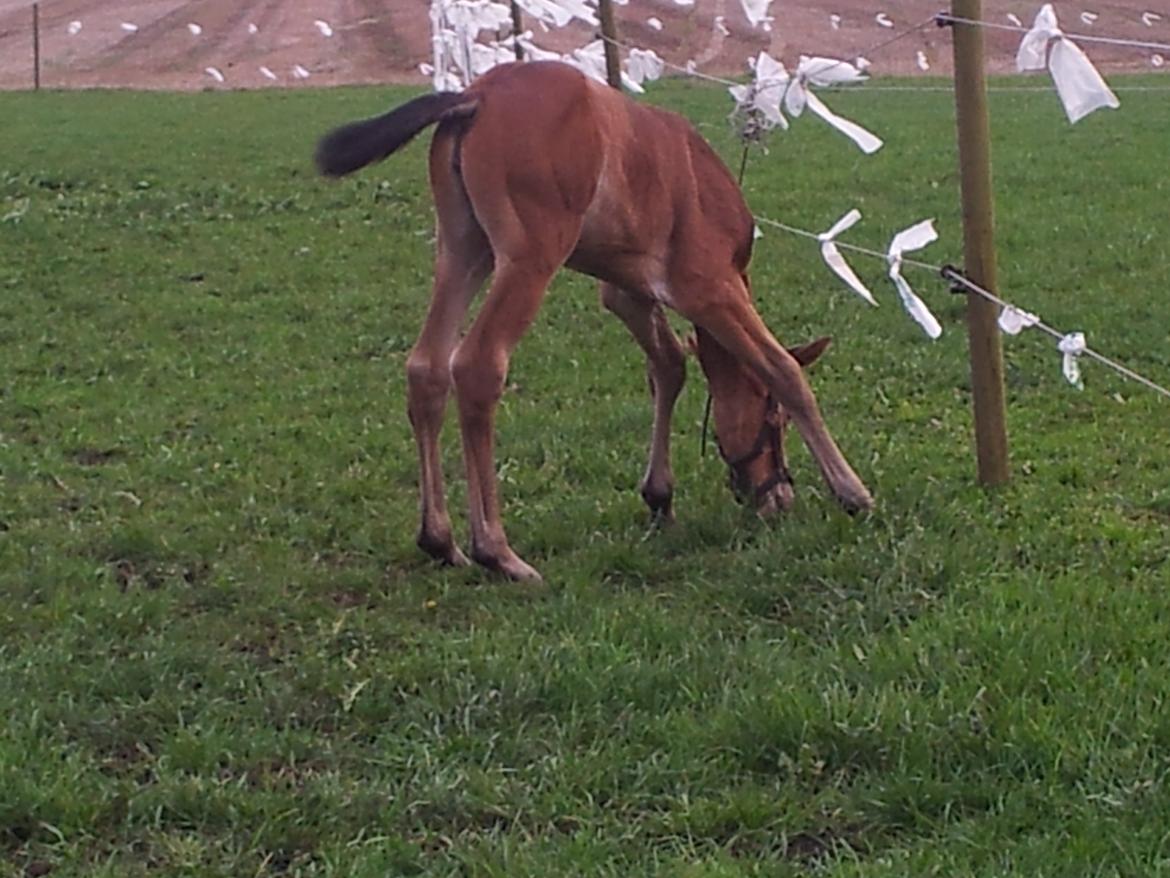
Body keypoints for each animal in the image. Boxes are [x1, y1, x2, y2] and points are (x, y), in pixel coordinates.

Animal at [315, 63, 875, 585]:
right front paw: (852, 493)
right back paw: (497, 551)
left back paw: (440, 541)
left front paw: (659, 497)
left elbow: (669, 366)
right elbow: (782, 369)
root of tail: (475, 95)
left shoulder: (627, 291)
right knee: (476, 366)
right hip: (530, 257)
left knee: (426, 367)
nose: (777, 496)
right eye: (774, 421)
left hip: (462, 250)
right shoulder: (709, 288)